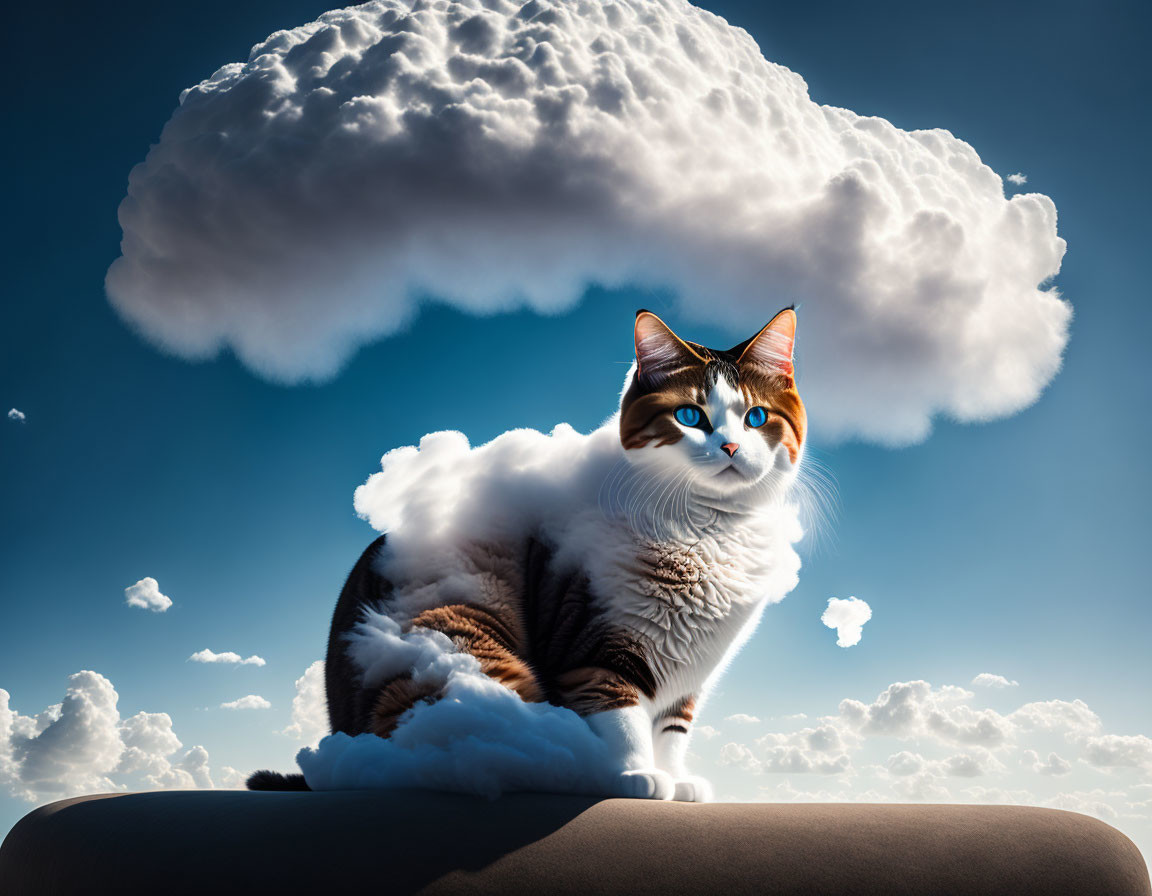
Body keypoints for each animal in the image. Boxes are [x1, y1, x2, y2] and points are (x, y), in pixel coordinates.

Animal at [249, 306, 811, 796]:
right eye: (690, 416)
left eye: (757, 418)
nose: (730, 448)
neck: (707, 531)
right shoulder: (591, 646)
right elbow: (619, 712)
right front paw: (634, 775)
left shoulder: (687, 678)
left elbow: (672, 732)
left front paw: (676, 779)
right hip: (459, 642)